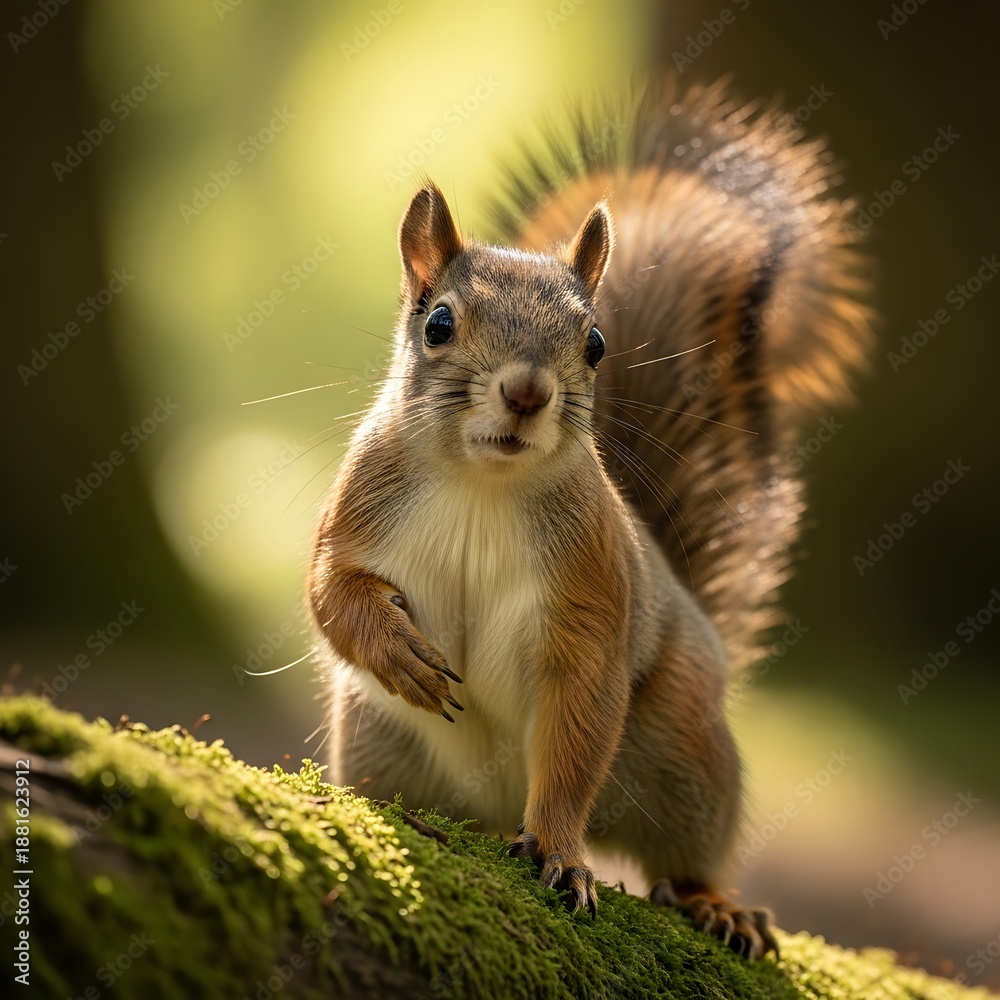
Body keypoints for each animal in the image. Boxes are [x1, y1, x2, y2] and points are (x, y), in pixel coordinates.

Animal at [307, 77, 870, 960]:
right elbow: (330, 591)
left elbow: (577, 728)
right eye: (438, 324)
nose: (527, 392)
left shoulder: (590, 592)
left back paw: (716, 905)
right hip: (377, 740)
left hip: (683, 750)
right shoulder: (358, 505)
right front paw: (397, 651)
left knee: (684, 853)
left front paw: (561, 854)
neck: (485, 484)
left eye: (596, 343)